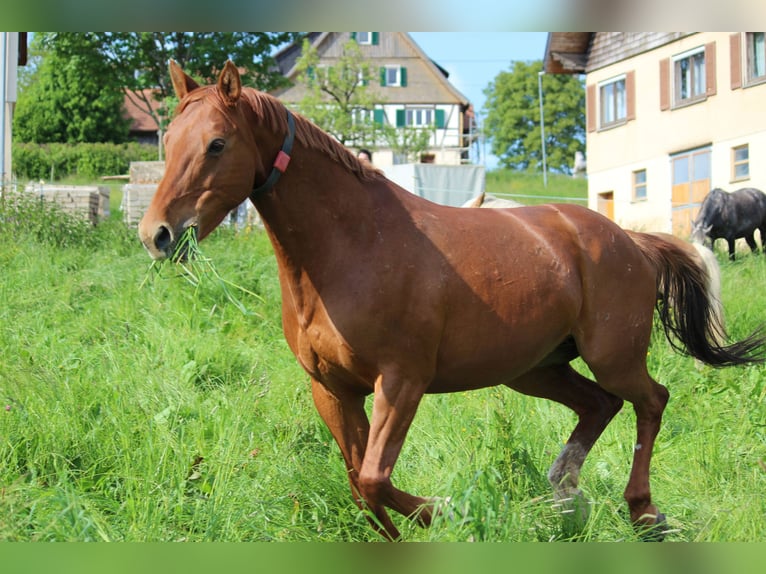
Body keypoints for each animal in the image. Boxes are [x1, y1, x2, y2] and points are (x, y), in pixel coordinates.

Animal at [138, 60, 766, 544]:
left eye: (217, 143)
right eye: (167, 142)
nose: (157, 235)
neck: (353, 246)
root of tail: (632, 242)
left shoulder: (402, 381)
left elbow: (374, 479)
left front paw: (452, 510)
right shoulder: (333, 390)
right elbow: (359, 484)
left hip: (612, 356)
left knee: (651, 401)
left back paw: (642, 513)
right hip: (534, 369)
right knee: (600, 405)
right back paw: (563, 498)